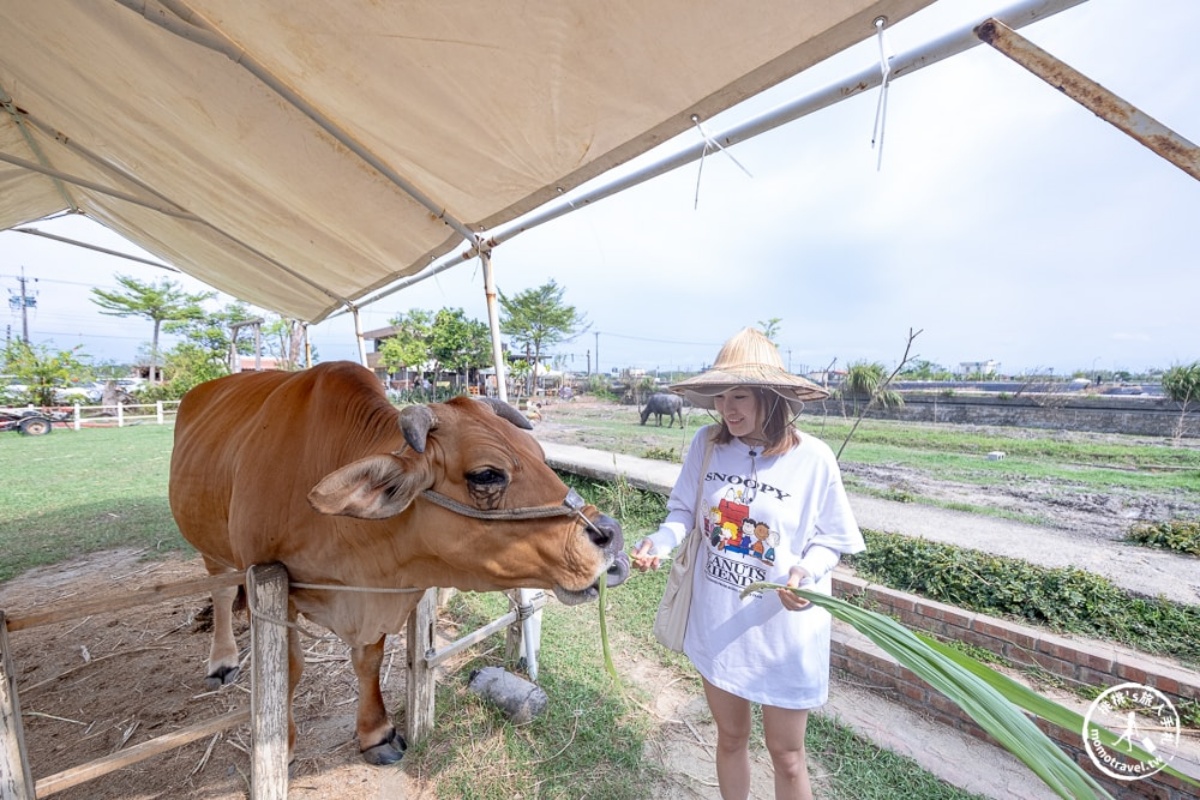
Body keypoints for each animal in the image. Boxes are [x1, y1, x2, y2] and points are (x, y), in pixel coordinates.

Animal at [168, 362, 628, 762]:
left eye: (538, 453)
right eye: (486, 474)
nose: (611, 538)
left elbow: (368, 660)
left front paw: (376, 733)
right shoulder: (272, 588)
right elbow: (289, 670)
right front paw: (283, 745)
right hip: (212, 548)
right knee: (222, 593)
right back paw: (223, 660)